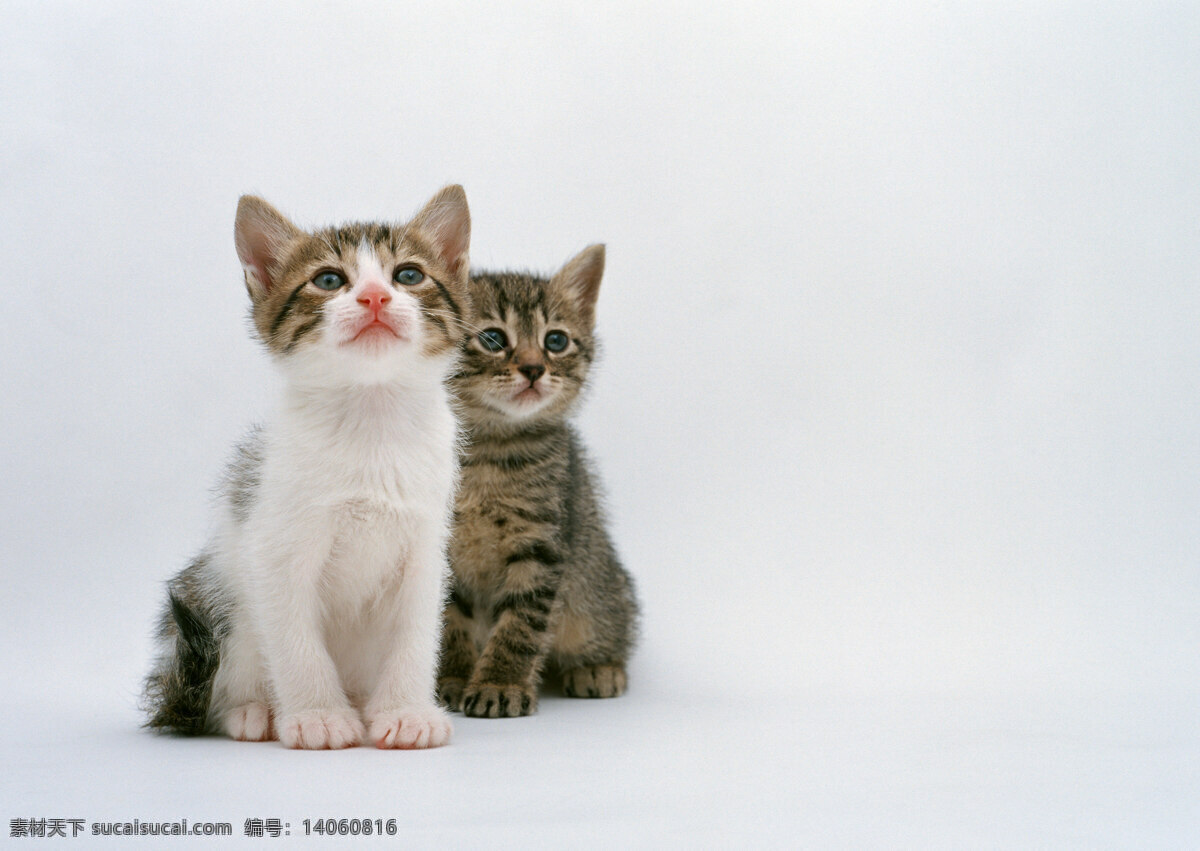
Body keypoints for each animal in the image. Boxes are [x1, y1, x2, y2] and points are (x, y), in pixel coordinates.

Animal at [142, 182, 470, 748]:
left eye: (408, 274)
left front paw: (406, 712)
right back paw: (254, 712)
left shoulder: (426, 548)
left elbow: (415, 635)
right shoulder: (272, 546)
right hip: (214, 604)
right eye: (329, 280)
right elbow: (296, 640)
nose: (375, 297)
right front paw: (318, 715)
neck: (370, 421)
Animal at [439, 246, 638, 715]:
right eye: (493, 339)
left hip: (596, 593)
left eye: (556, 341)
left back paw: (599, 668)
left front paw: (500, 683)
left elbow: (522, 624)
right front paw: (454, 676)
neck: (488, 453)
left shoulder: (542, 543)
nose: (532, 368)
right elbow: (448, 622)